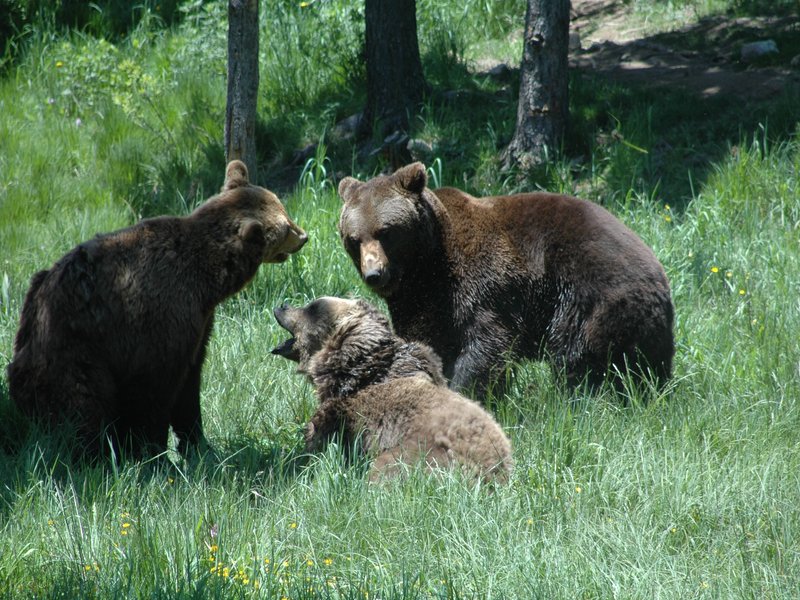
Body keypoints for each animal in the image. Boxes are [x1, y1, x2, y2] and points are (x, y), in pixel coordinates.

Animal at [6, 159, 306, 460]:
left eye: (284, 209)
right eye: (285, 227)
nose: (303, 235)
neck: (207, 279)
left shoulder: (199, 323)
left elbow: (190, 383)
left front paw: (198, 444)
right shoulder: (158, 317)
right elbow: (153, 390)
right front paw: (152, 452)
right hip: (72, 349)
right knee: (82, 403)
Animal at [338, 163, 676, 398]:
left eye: (386, 231)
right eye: (354, 239)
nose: (374, 274)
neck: (427, 265)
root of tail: (660, 275)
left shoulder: (479, 285)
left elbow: (486, 342)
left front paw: (467, 392)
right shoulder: (421, 303)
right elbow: (428, 343)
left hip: (591, 292)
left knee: (577, 353)